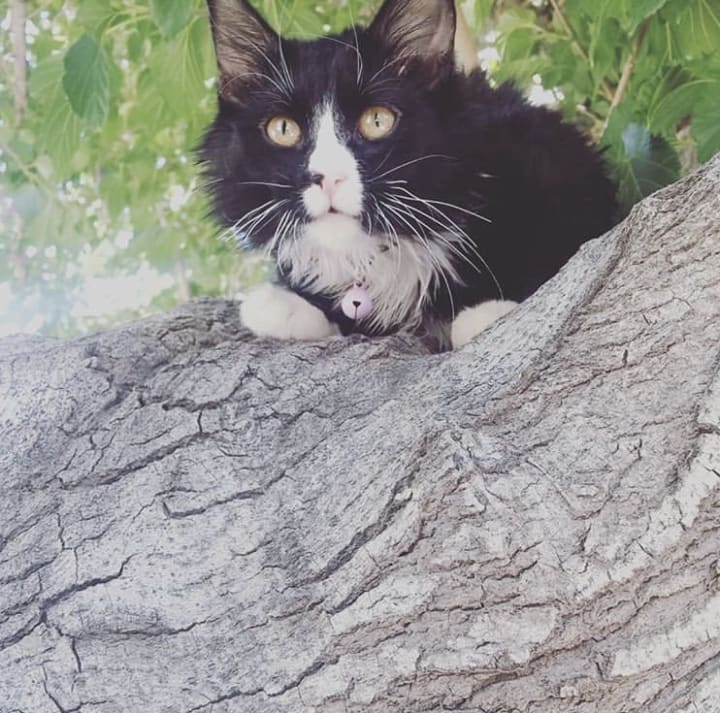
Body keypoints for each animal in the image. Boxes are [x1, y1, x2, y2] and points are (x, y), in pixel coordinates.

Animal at [200, 0, 617, 350]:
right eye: (283, 129)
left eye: (377, 120)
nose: (328, 177)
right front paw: (286, 304)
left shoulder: (551, 156)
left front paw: (487, 310)